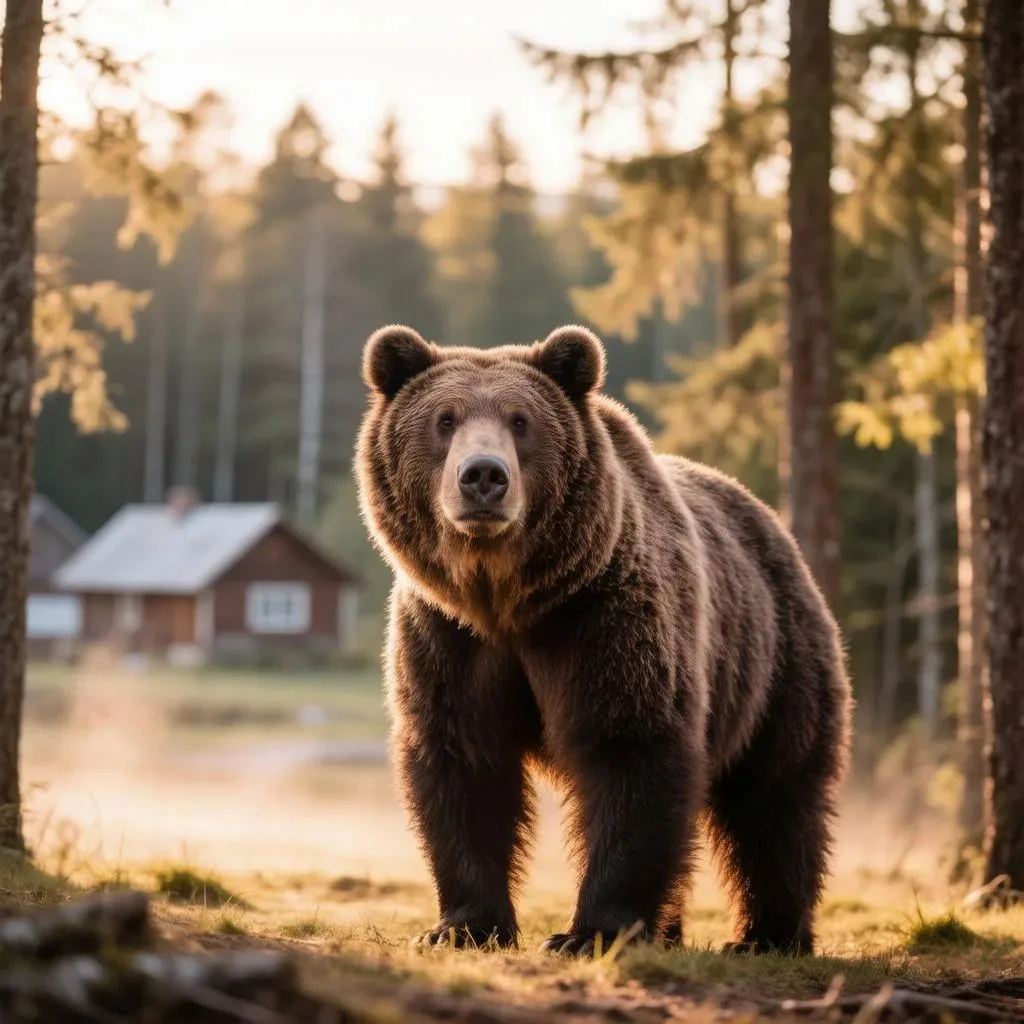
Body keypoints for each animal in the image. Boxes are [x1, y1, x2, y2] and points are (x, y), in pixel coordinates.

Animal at [354, 322, 852, 958]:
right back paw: (672, 931)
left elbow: (630, 748)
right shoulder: (448, 640)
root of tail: (775, 528)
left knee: (776, 797)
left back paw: (769, 935)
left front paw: (587, 932)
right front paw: (462, 926)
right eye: (445, 419)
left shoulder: (602, 621)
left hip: (776, 660)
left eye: (521, 420)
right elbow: (464, 762)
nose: (484, 476)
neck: (508, 600)